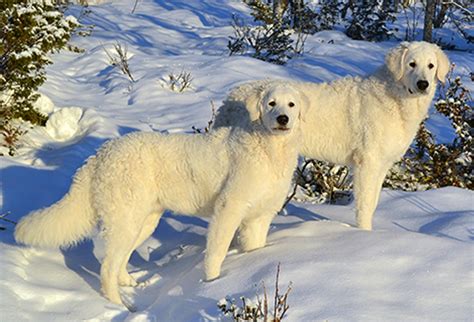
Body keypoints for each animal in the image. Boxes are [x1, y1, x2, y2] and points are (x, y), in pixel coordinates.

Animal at [13, 84, 304, 310]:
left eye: (291, 104)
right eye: (271, 103)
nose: (283, 118)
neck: (269, 150)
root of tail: (100, 155)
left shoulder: (259, 216)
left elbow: (255, 247)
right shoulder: (228, 208)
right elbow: (217, 252)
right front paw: (213, 284)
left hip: (143, 220)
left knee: (120, 258)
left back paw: (127, 283)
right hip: (126, 219)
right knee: (107, 266)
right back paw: (117, 305)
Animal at [213, 41, 450, 230]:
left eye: (431, 65)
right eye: (411, 64)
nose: (423, 84)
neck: (395, 96)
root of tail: (231, 96)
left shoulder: (382, 164)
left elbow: (373, 203)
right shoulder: (367, 163)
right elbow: (365, 205)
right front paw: (365, 234)